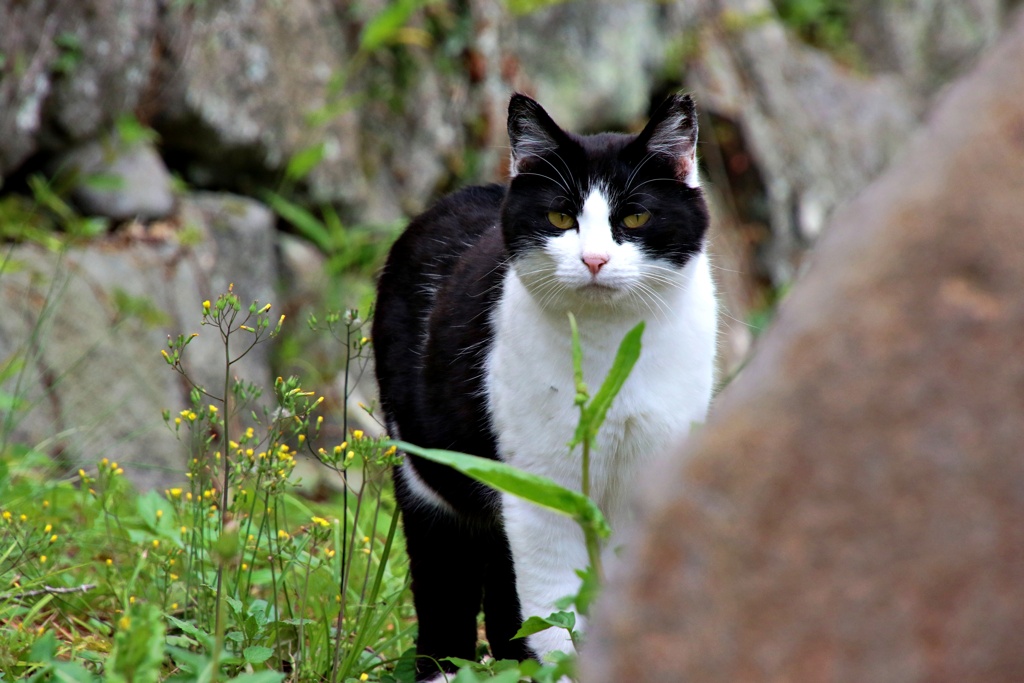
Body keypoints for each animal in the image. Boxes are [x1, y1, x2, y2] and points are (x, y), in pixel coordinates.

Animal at [372, 93, 716, 679]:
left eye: (636, 215)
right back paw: (447, 667)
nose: (594, 259)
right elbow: (552, 608)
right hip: (431, 480)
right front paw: (565, 666)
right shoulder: (541, 484)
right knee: (448, 583)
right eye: (560, 217)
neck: (608, 348)